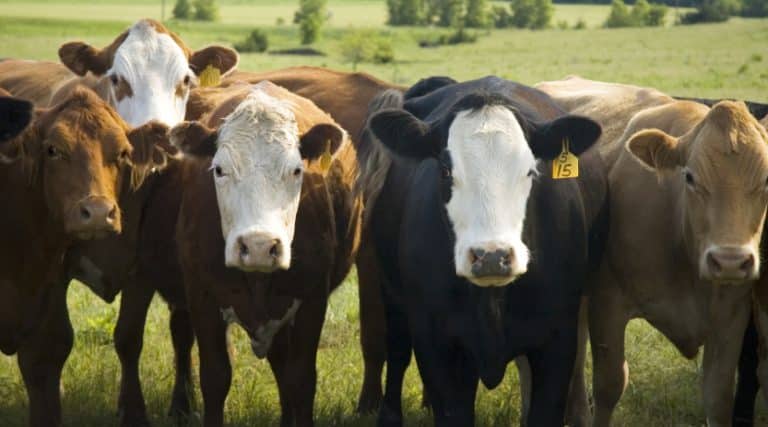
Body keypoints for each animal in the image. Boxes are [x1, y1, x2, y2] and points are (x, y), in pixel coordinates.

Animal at [170, 80, 361, 427]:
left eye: (297, 170)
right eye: (219, 170)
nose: (259, 246)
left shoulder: (312, 299)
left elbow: (301, 380)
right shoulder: (201, 297)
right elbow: (215, 378)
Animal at [358, 75, 606, 426]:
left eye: (531, 171)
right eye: (446, 171)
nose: (491, 256)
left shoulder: (558, 340)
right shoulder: (435, 343)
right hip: (392, 295)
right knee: (396, 350)